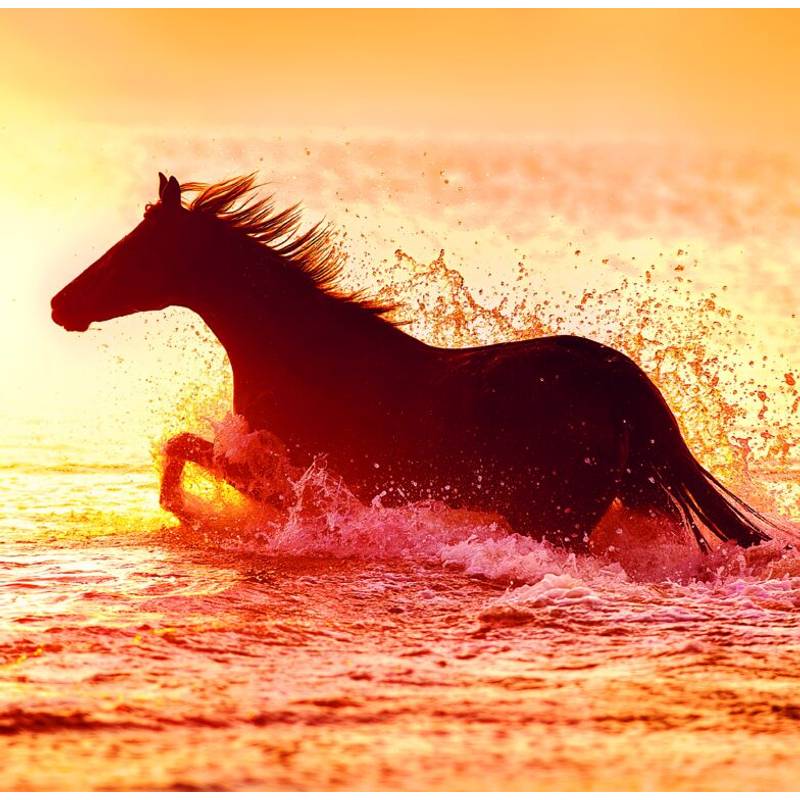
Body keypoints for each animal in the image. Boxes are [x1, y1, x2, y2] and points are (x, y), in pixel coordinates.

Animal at [51, 172, 774, 553]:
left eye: (133, 251)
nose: (61, 305)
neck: (302, 355)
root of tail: (614, 379)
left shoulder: (281, 476)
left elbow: (182, 451)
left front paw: (189, 513)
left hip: (553, 519)